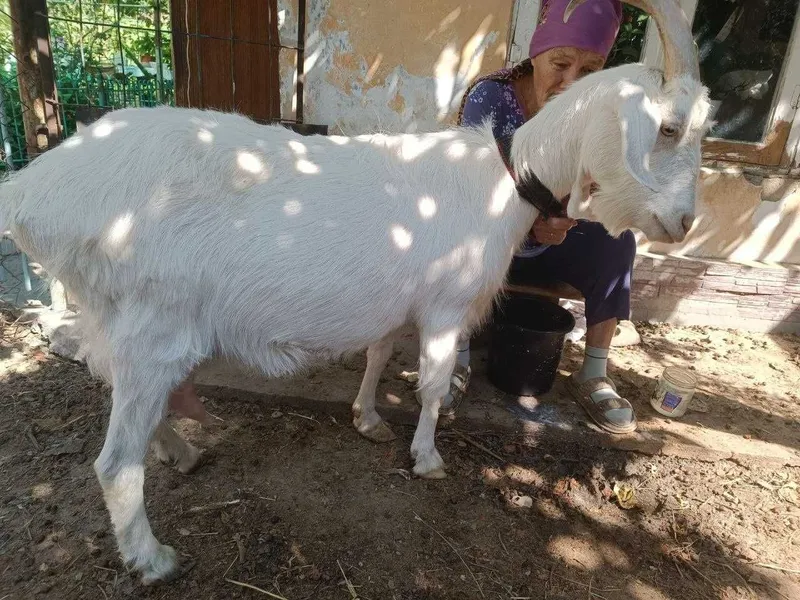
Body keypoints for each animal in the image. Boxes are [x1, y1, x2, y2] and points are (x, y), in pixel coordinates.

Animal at [0, 0, 710, 584]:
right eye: (669, 128)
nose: (684, 222)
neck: (505, 175)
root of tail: (34, 189)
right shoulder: (446, 306)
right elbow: (431, 385)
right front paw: (427, 458)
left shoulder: (397, 303)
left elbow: (377, 355)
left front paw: (367, 419)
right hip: (155, 322)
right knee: (116, 460)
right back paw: (152, 558)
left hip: (117, 316)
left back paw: (180, 453)